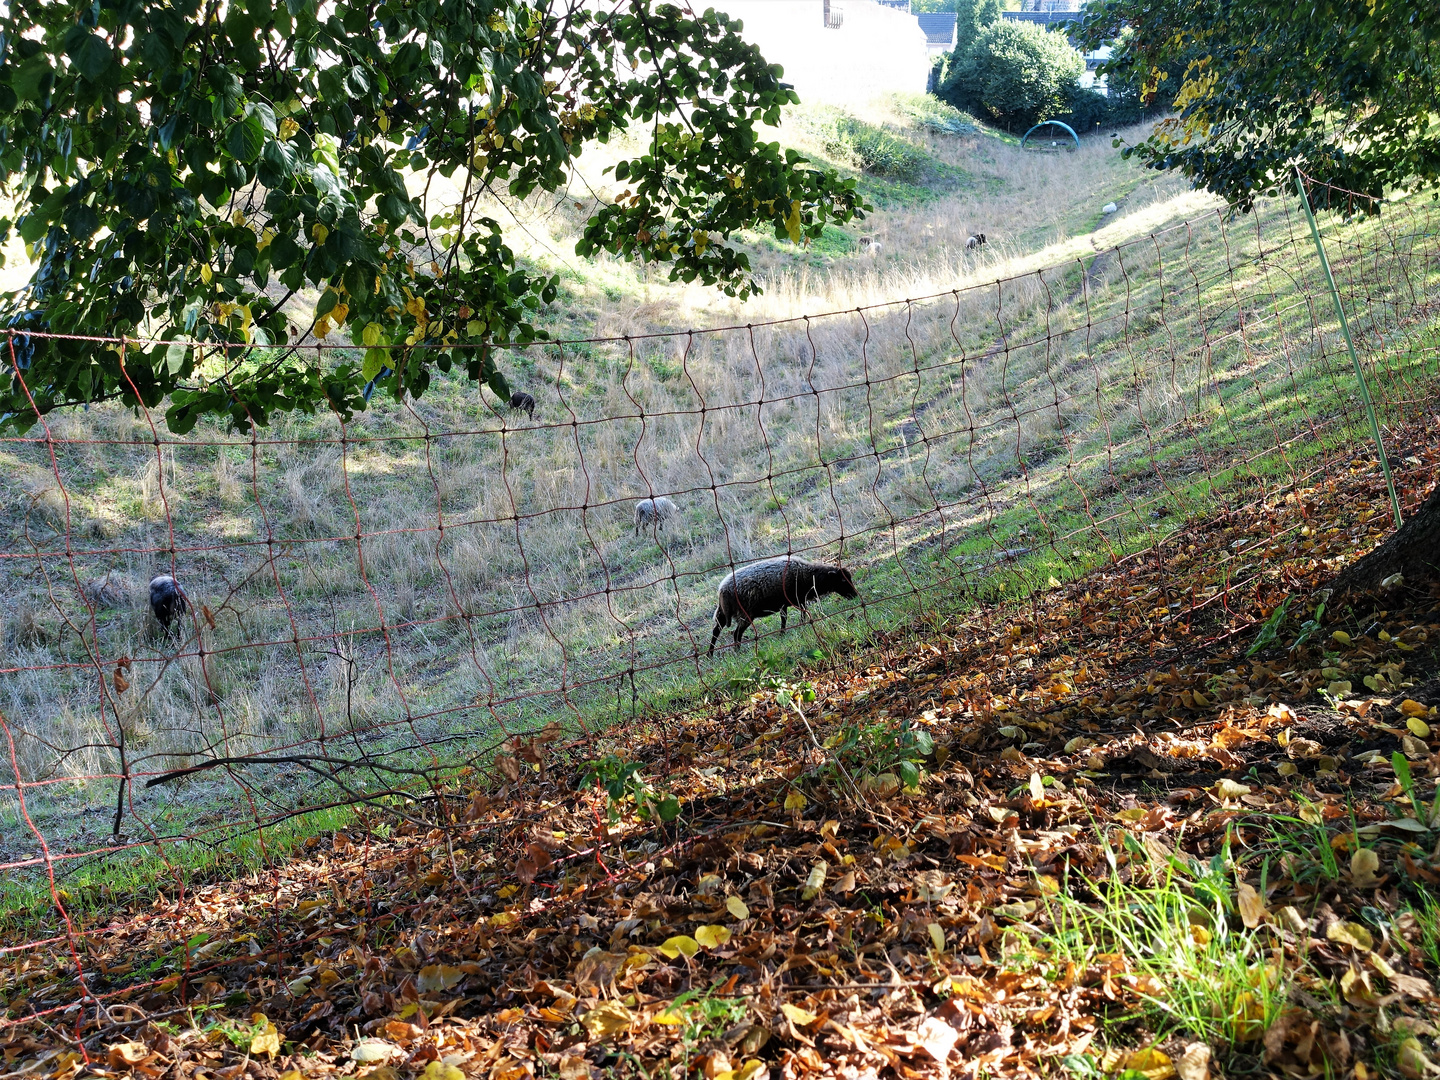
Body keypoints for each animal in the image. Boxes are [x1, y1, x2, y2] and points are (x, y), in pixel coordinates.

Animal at [708, 558, 852, 659]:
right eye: (843, 581)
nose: (854, 595)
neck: (808, 576)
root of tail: (723, 590)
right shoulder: (797, 600)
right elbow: (801, 614)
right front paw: (800, 625)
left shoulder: (784, 604)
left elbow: (784, 619)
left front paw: (782, 633)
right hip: (746, 613)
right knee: (736, 633)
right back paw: (737, 651)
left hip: (722, 613)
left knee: (716, 631)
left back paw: (710, 655)